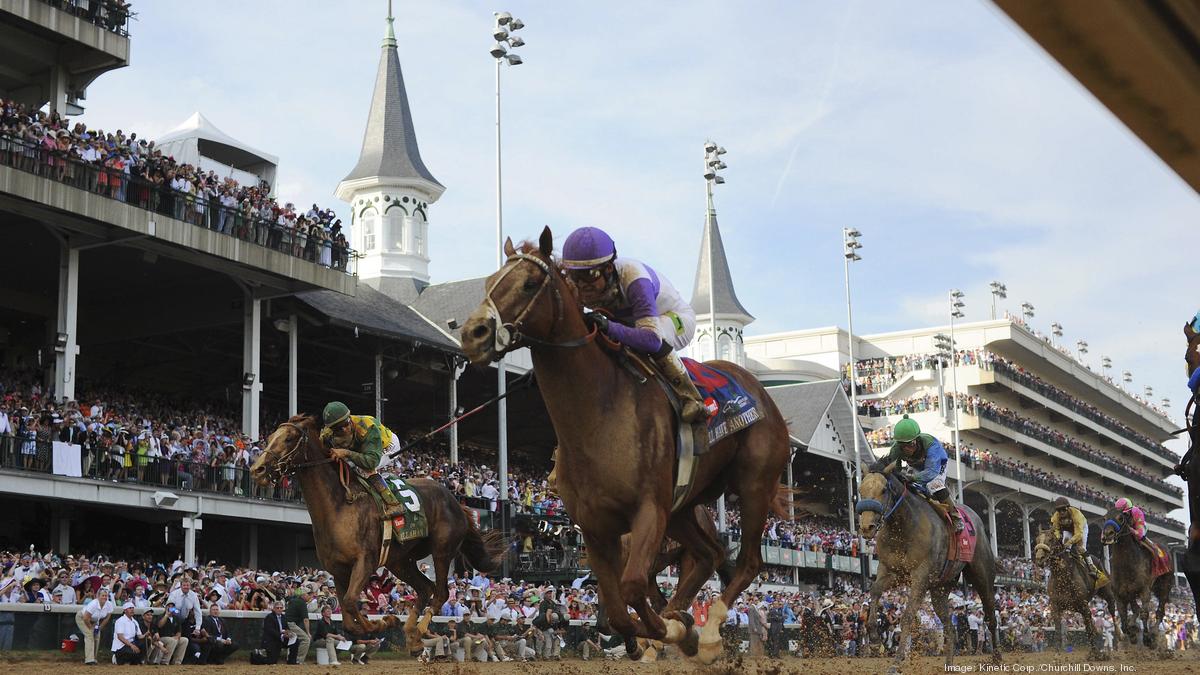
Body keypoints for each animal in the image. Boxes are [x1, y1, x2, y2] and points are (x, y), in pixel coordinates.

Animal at [248, 413, 501, 648]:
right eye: (270, 437)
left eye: (289, 438)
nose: (257, 469)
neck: (339, 505)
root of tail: (457, 502)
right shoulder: (337, 569)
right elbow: (349, 618)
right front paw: (385, 621)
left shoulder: (365, 561)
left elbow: (351, 601)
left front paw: (384, 621)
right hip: (399, 561)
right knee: (425, 588)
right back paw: (411, 633)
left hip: (441, 550)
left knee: (440, 592)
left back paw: (418, 631)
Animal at [460, 228, 796, 658]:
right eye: (489, 283)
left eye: (530, 283)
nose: (473, 334)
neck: (599, 417)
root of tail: (762, 393)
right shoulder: (595, 527)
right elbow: (618, 610)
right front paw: (664, 632)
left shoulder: (648, 511)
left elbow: (633, 586)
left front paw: (672, 631)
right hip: (683, 508)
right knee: (711, 554)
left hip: (753, 485)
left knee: (748, 562)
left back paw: (707, 631)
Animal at [854, 466, 1003, 667]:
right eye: (860, 490)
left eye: (884, 490)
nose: (867, 527)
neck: (904, 527)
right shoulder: (890, 571)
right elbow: (875, 590)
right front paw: (875, 639)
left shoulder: (921, 576)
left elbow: (908, 616)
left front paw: (896, 663)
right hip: (941, 588)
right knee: (949, 626)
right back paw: (949, 664)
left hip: (982, 576)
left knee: (991, 616)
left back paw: (997, 657)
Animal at [1027, 523, 1118, 653]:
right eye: (1037, 540)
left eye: (1050, 539)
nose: (1040, 558)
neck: (1063, 576)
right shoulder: (1055, 606)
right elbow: (1058, 630)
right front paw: (1057, 651)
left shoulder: (1083, 605)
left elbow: (1089, 629)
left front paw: (1095, 652)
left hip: (1105, 590)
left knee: (1111, 608)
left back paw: (1120, 634)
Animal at [1099, 504, 1171, 648]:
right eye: (1104, 518)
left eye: (1120, 518)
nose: (1107, 535)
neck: (1127, 564)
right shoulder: (1119, 594)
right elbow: (1123, 617)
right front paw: (1131, 635)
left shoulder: (1144, 590)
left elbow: (1144, 613)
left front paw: (1147, 638)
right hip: (1132, 592)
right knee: (1135, 608)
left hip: (1164, 587)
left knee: (1160, 611)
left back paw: (1154, 632)